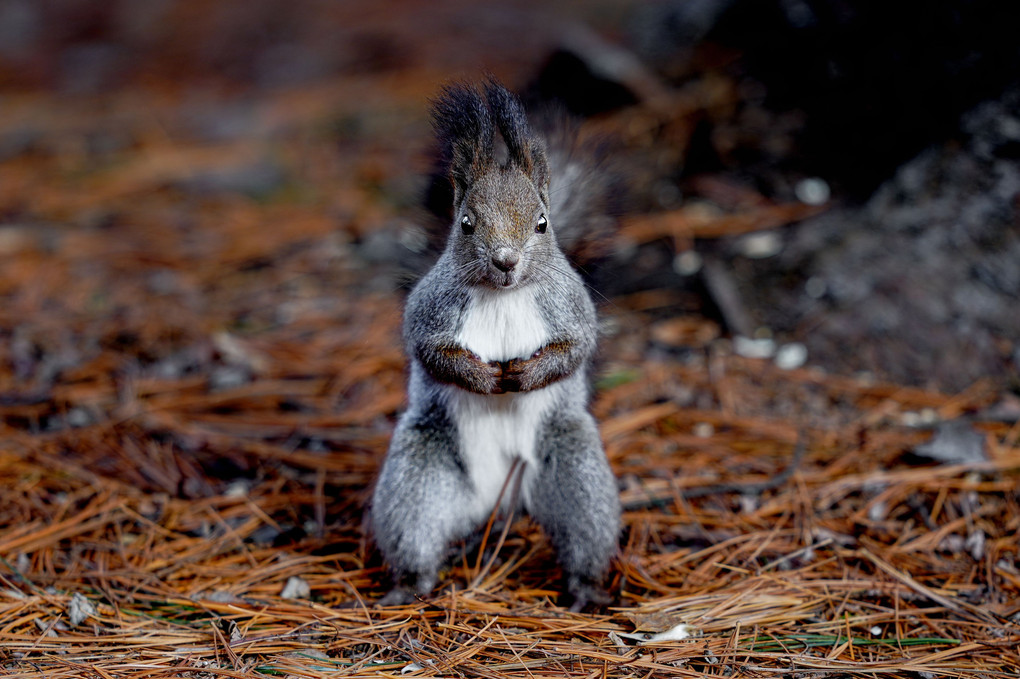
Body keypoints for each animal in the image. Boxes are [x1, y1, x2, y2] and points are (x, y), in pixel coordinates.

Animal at [369, 79, 616, 607]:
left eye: (542, 222)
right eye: (465, 222)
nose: (506, 259)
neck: (504, 294)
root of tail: (498, 503)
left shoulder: (572, 307)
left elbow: (576, 349)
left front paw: (525, 375)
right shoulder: (431, 310)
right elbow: (431, 352)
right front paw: (483, 378)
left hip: (574, 474)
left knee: (584, 531)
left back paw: (585, 589)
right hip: (420, 479)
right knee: (415, 533)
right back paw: (409, 587)